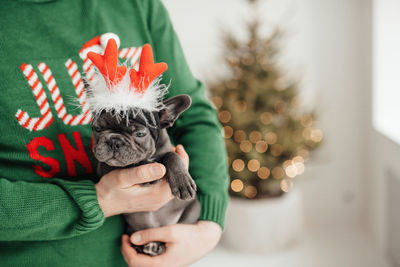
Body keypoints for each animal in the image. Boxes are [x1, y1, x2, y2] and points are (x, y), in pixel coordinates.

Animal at [92, 95, 202, 256]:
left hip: (193, 210)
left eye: (140, 134)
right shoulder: (104, 168)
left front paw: (182, 182)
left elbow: (171, 155)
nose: (114, 141)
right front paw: (145, 167)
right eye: (98, 128)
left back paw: (156, 246)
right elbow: (129, 163)